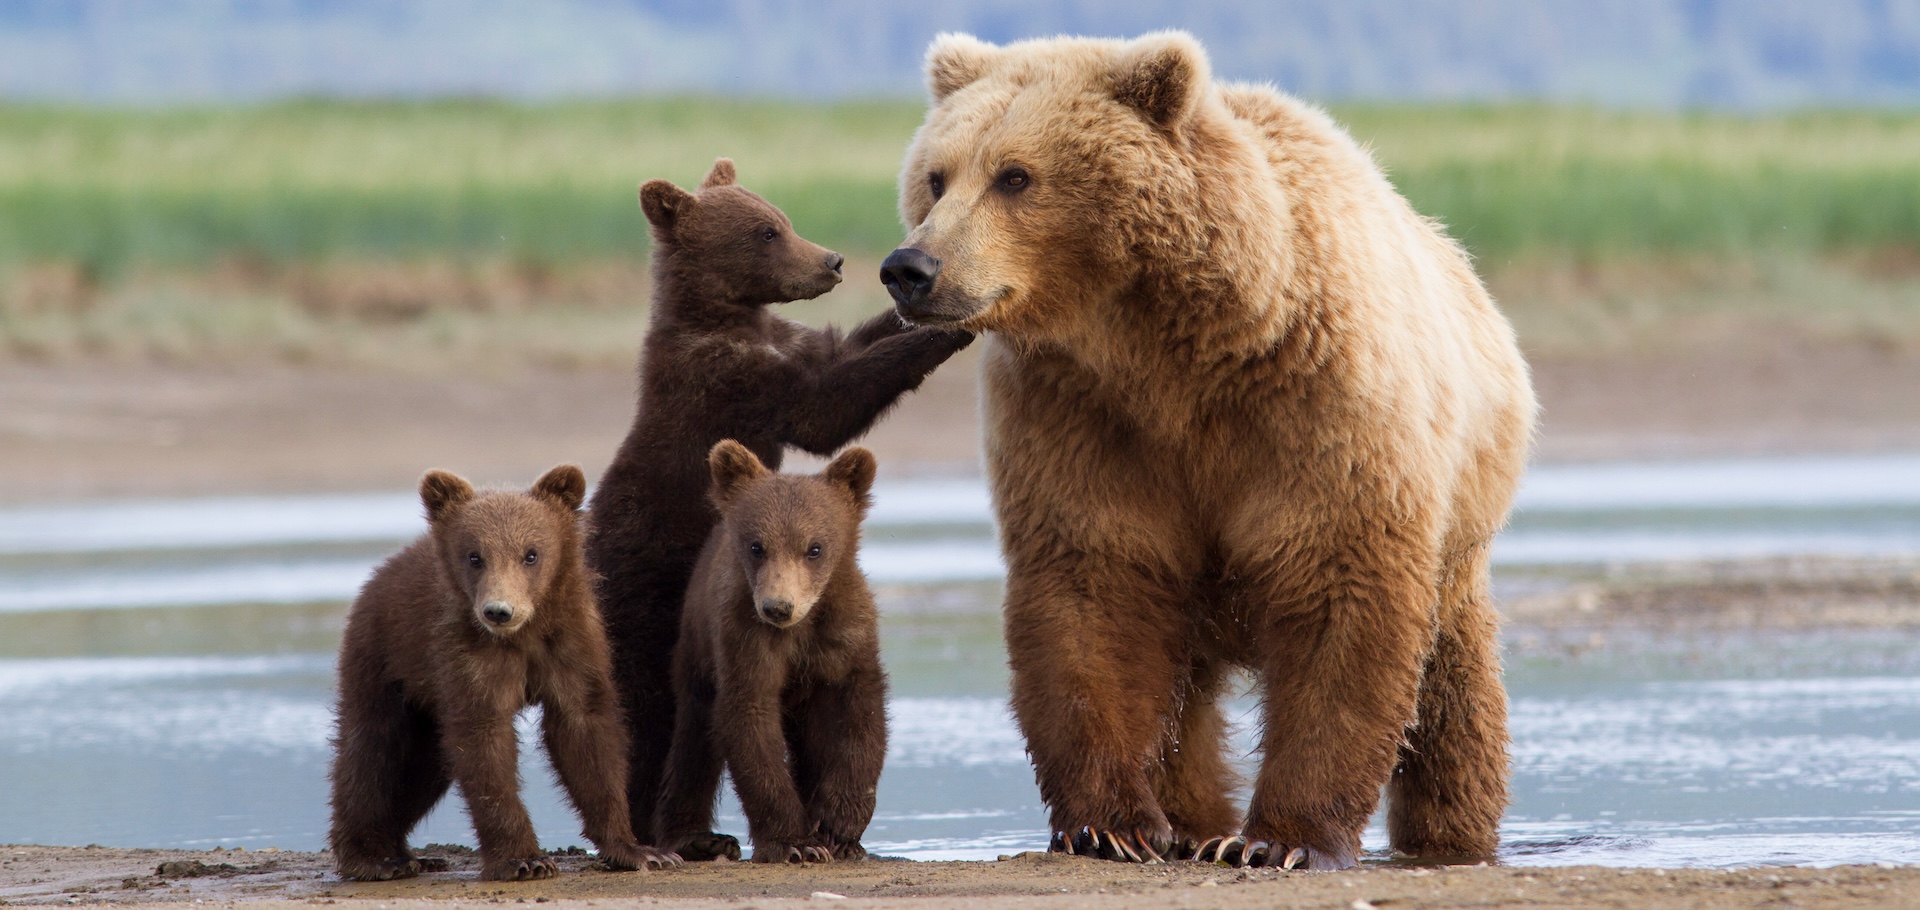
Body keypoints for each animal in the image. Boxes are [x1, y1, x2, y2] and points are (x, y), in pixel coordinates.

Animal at [329, 465, 680, 882]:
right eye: (474, 556)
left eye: (531, 554)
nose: (499, 610)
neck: (523, 636)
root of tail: (381, 573)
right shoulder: (467, 656)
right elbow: (485, 745)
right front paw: (525, 859)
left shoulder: (570, 647)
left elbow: (586, 733)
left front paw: (641, 850)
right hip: (384, 659)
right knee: (372, 751)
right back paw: (374, 857)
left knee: (422, 767)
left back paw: (410, 854)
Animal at [650, 440, 888, 864]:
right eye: (756, 546)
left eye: (815, 547)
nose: (778, 607)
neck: (801, 628)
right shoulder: (745, 638)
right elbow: (750, 715)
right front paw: (795, 841)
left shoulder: (845, 635)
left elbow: (861, 711)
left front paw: (839, 827)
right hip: (696, 650)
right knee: (693, 741)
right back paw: (696, 837)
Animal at [877, 32, 1537, 870]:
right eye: (935, 176)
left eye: (1015, 175)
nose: (910, 267)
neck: (1169, 348)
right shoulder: (1082, 421)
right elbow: (1094, 593)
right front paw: (1110, 825)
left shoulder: (1320, 412)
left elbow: (1340, 599)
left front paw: (1281, 841)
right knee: (1183, 694)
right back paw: (1193, 822)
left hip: (1461, 521)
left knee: (1453, 687)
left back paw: (1450, 832)